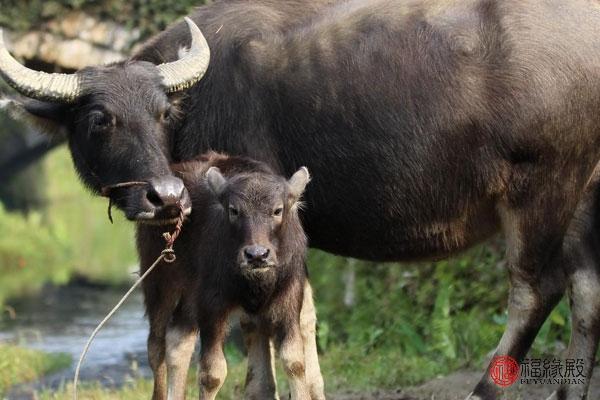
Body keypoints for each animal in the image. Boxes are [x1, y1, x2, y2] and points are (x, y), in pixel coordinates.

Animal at [1, 0, 600, 400]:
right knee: (586, 288)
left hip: (541, 188)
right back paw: (568, 391)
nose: (164, 196)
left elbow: (256, 327)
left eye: (163, 112)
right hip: (586, 194)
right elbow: (291, 325)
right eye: (99, 119)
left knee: (536, 288)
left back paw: (485, 388)